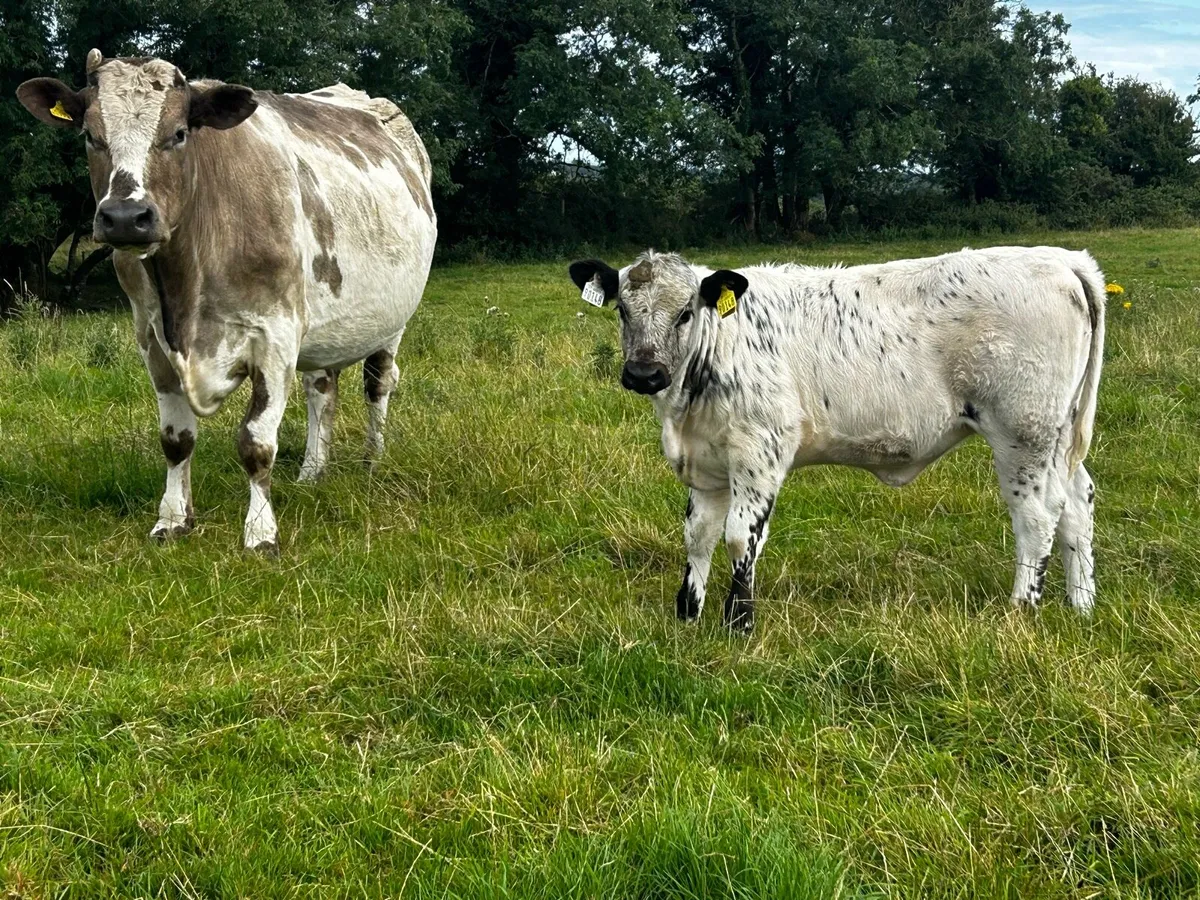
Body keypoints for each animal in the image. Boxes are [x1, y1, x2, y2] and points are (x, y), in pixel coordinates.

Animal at [17, 50, 436, 553]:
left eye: (179, 133)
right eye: (90, 135)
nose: (125, 217)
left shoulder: (275, 335)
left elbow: (256, 442)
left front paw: (260, 533)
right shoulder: (152, 339)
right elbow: (175, 439)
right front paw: (172, 520)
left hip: (391, 321)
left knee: (378, 384)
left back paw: (372, 461)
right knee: (321, 391)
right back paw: (312, 472)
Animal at [570, 247, 1106, 633]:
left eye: (684, 312)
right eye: (623, 311)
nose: (643, 374)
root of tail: (1059, 257)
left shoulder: (760, 453)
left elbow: (740, 537)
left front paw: (738, 623)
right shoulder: (706, 464)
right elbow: (697, 536)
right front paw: (687, 614)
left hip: (1023, 431)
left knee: (1037, 516)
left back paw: (1022, 609)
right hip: (1057, 436)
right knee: (1078, 502)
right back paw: (1081, 603)